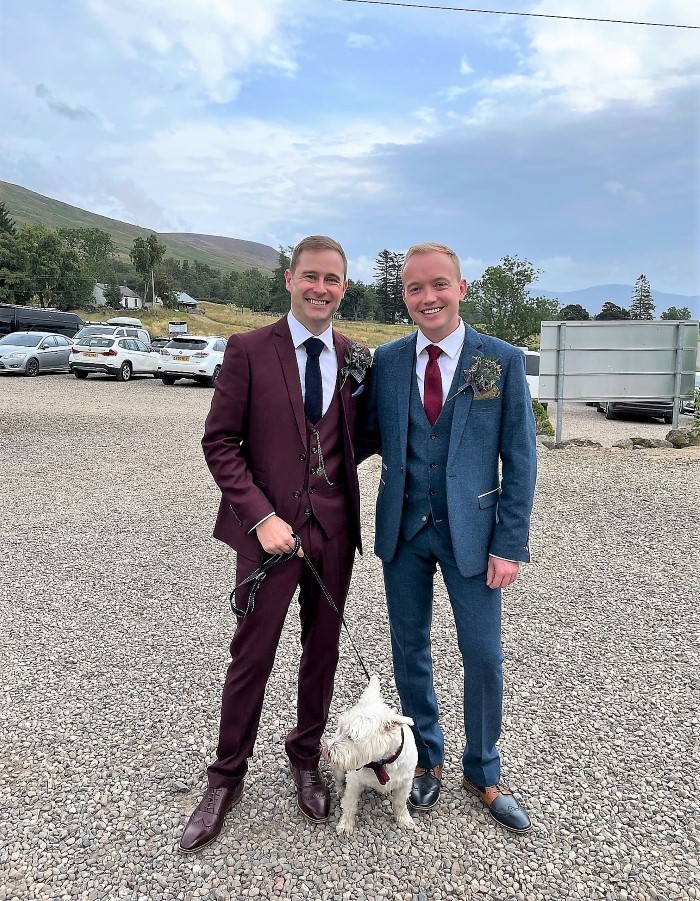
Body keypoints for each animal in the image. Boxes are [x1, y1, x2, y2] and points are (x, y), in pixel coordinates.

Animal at [322, 672, 416, 832]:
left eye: (351, 736)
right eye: (341, 728)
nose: (327, 752)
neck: (382, 763)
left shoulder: (406, 781)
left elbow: (400, 802)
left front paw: (404, 820)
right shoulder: (353, 781)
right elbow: (349, 803)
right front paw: (345, 825)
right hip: (339, 770)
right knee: (339, 781)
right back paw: (340, 790)